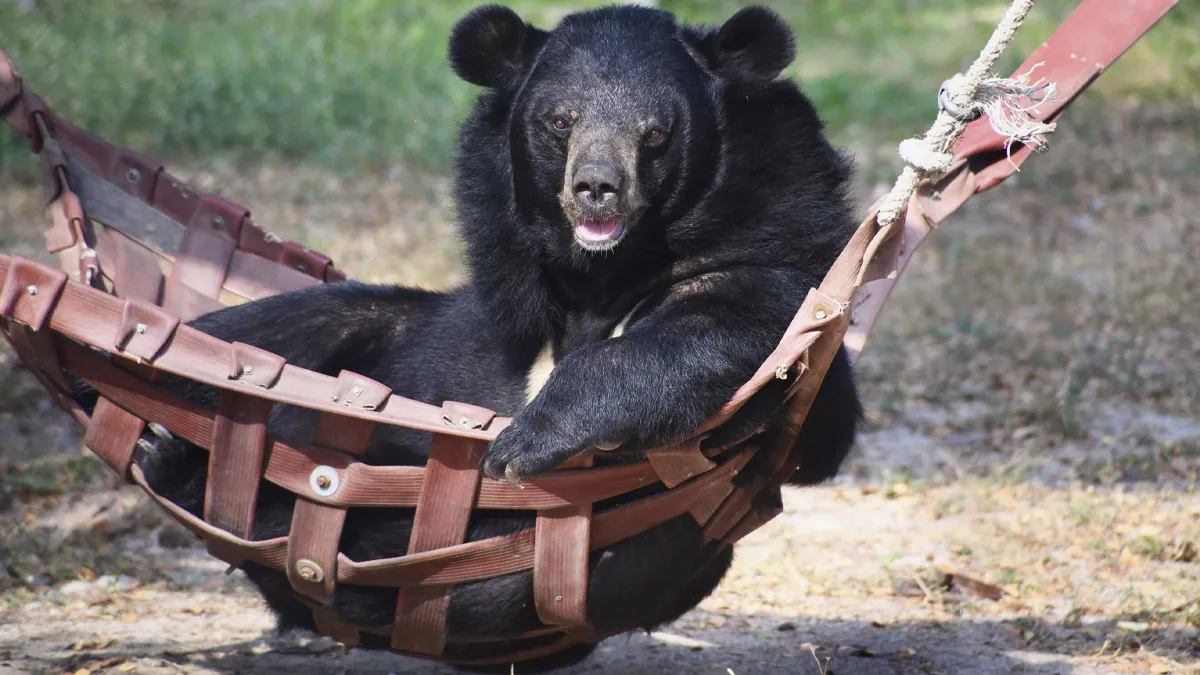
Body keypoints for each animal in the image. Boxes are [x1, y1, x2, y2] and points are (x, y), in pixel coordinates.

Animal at [75, 4, 863, 671]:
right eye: (560, 121)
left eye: (655, 133)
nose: (597, 188)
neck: (597, 274)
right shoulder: (487, 309)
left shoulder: (775, 243)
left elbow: (734, 333)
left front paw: (524, 440)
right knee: (295, 324)